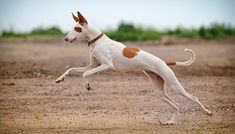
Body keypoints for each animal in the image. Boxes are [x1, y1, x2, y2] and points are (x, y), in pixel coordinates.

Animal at [56, 11, 212, 124]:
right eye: (72, 28)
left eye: (77, 28)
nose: (65, 39)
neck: (97, 41)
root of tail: (164, 62)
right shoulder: (92, 65)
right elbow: (71, 69)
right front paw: (60, 79)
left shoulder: (106, 65)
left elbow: (85, 74)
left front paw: (87, 86)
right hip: (159, 92)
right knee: (177, 105)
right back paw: (171, 122)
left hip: (175, 85)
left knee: (193, 97)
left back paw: (208, 112)